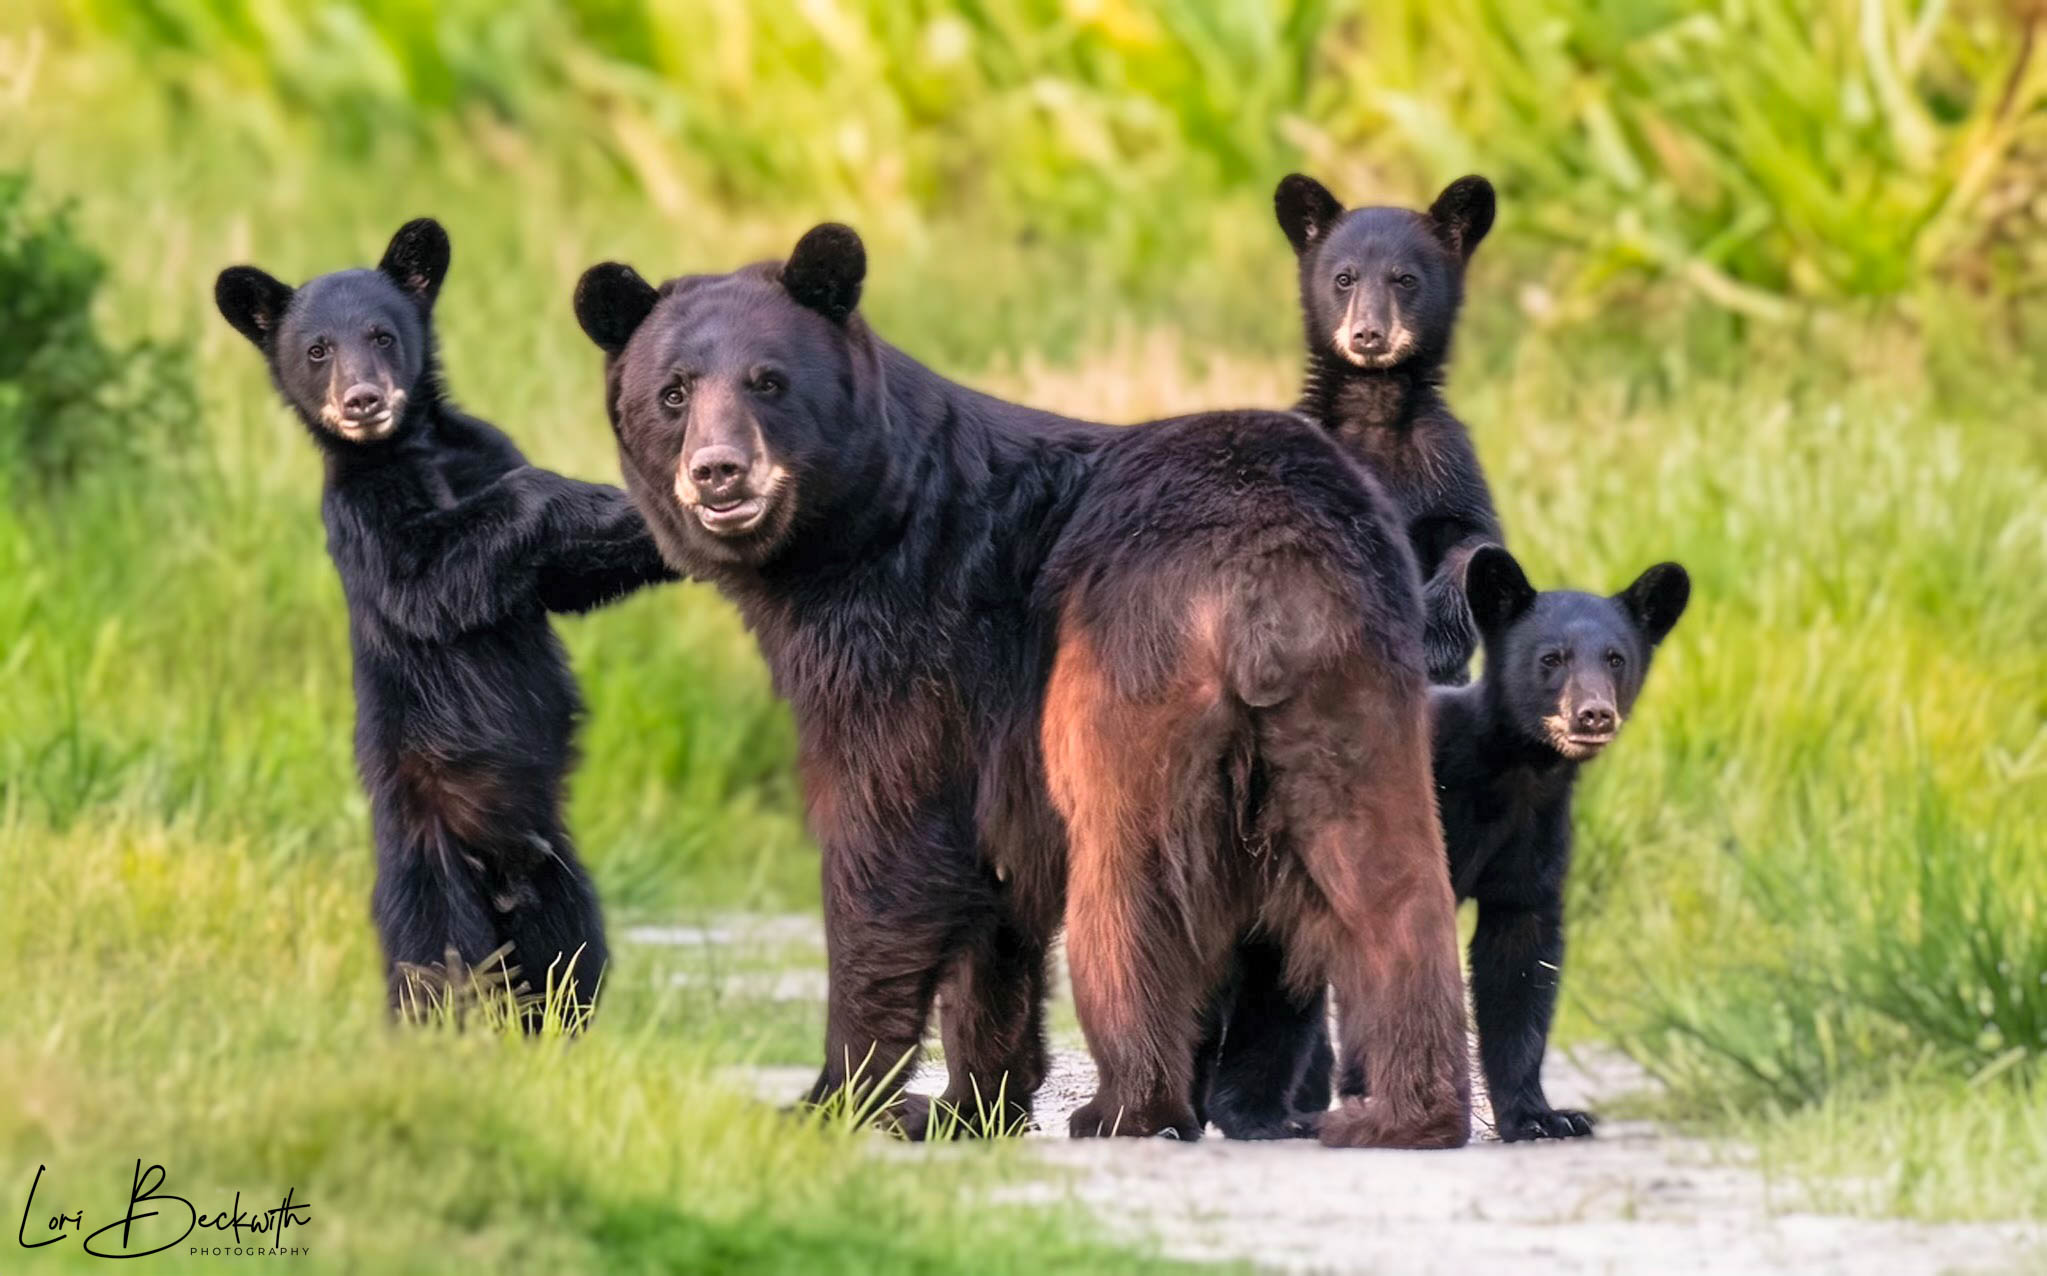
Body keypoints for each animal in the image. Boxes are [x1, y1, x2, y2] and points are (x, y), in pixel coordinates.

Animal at [215, 219, 678, 1030]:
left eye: (381, 333)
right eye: (316, 349)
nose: (363, 400)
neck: (411, 448)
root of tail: (502, 874)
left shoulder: (485, 447)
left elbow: (563, 575)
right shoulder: (361, 515)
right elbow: (429, 572)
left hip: (559, 873)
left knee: (571, 964)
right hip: (426, 862)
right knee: (433, 967)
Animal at [573, 223, 1472, 1147]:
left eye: (767, 380)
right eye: (672, 392)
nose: (718, 472)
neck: (851, 537)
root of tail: (1265, 565)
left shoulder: (910, 642)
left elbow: (886, 837)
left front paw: (835, 1097)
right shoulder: (980, 724)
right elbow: (993, 903)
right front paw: (968, 1103)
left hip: (1125, 660)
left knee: (1128, 878)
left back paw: (1128, 1104)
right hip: (1352, 680)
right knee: (1386, 877)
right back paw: (1402, 1111)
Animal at [1196, 173, 1508, 1139]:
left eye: (1404, 277)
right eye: (1341, 276)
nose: (1368, 334)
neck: (1371, 421)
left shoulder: (1446, 467)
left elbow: (1473, 544)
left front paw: (1439, 628)